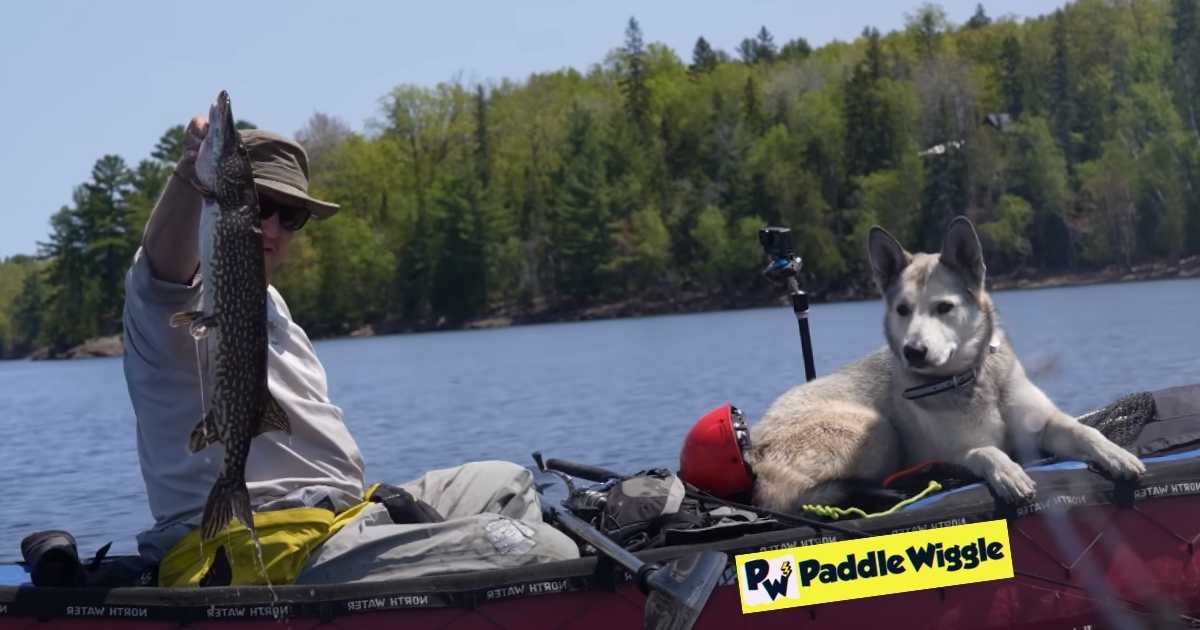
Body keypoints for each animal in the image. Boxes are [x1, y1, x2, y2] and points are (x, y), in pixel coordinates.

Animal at [744, 216, 1147, 511]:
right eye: (902, 309)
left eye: (944, 307)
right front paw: (1007, 472)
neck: (972, 379)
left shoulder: (1044, 425)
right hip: (876, 429)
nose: (913, 351)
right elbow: (985, 451)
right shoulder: (957, 452)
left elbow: (1084, 431)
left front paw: (1116, 453)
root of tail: (756, 447)